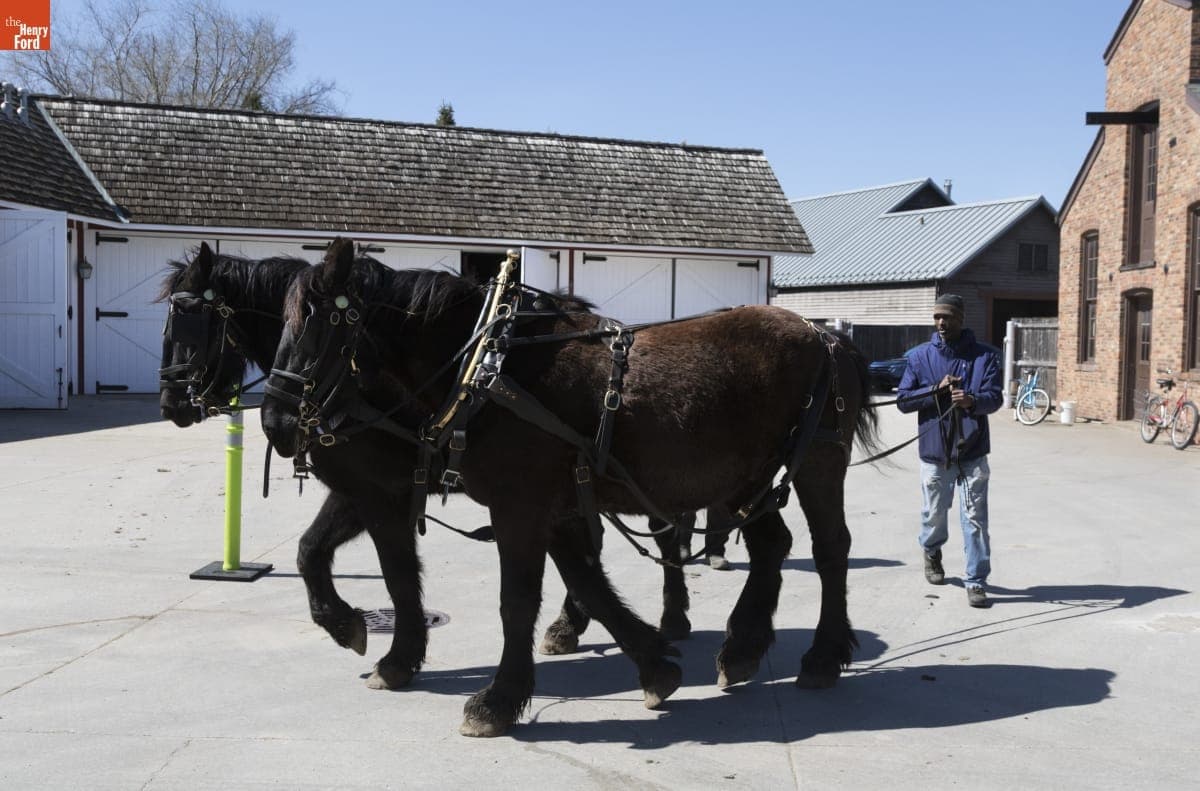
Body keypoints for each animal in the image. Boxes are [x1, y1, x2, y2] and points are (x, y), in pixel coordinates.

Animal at [156, 243, 698, 688]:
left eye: (190, 319)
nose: (171, 403)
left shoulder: (379, 490)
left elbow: (395, 574)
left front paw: (395, 656)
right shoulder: (358, 490)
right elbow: (310, 551)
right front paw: (345, 624)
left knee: (664, 533)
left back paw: (670, 619)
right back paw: (575, 624)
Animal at [260, 239, 880, 737]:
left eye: (319, 325)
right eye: (279, 323)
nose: (276, 423)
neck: (492, 369)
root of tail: (825, 336)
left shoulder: (515, 505)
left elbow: (514, 600)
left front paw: (496, 701)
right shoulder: (551, 509)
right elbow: (590, 585)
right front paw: (656, 667)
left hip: (817, 462)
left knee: (830, 549)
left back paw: (823, 656)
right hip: (740, 479)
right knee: (772, 545)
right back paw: (743, 648)